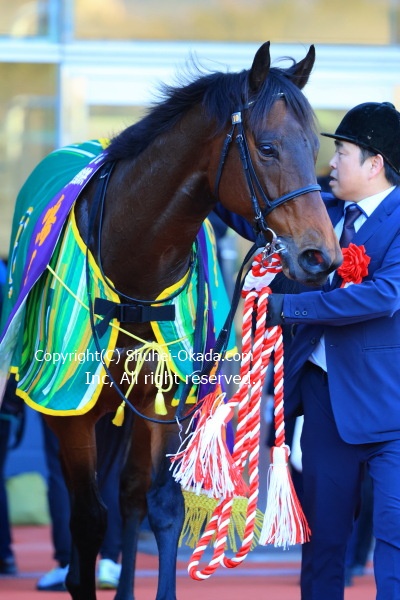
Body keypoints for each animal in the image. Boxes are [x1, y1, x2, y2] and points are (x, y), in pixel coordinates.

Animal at [0, 41, 342, 600]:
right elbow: (88, 519)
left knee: (131, 496)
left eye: (314, 146)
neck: (133, 265)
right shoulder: (66, 403)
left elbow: (158, 505)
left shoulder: (167, 397)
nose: (321, 257)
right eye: (268, 147)